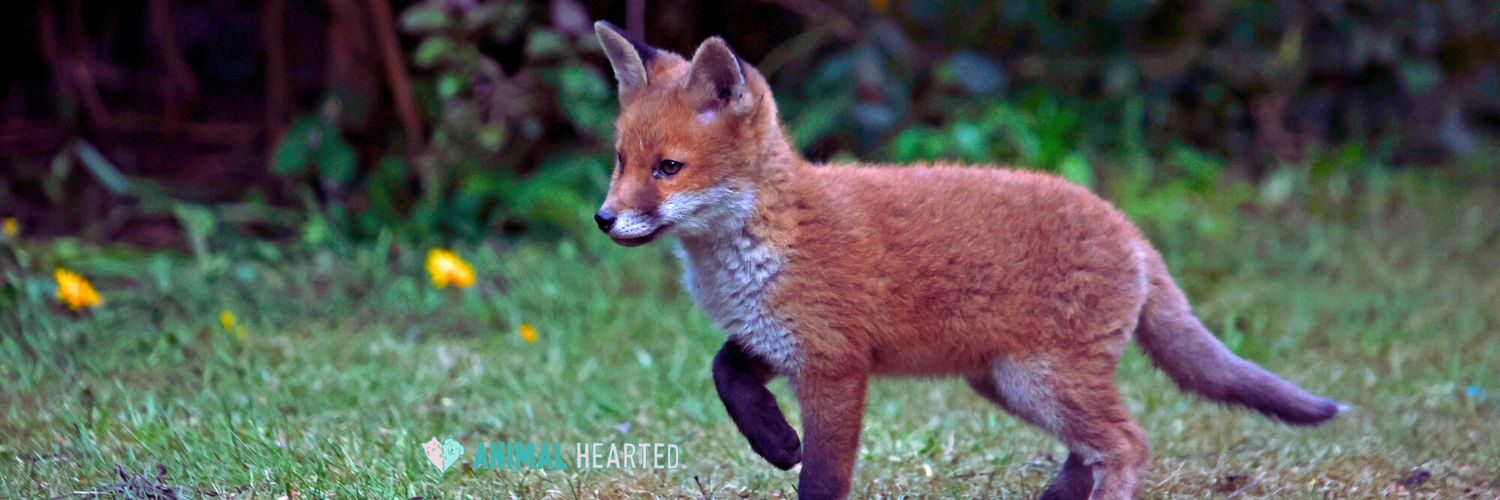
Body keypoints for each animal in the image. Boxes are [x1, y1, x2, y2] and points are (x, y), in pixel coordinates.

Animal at [590, 21, 1345, 500]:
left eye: (668, 169)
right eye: (620, 162)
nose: (603, 219)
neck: (762, 244)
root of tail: (1129, 228)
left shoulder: (836, 365)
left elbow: (824, 478)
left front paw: (789, 454)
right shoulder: (778, 341)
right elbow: (725, 373)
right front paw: (774, 441)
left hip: (1042, 381)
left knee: (1128, 444)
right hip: (1009, 383)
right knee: (1091, 452)